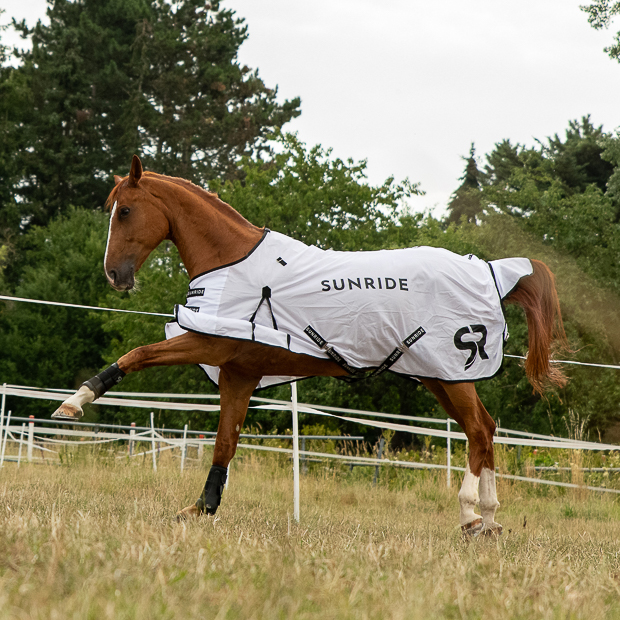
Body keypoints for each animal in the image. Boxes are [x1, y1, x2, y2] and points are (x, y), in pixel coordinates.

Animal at [52, 153, 568, 536]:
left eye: (125, 211)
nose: (114, 275)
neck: (232, 261)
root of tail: (490, 270)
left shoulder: (208, 344)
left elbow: (136, 356)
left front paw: (74, 402)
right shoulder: (240, 373)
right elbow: (224, 443)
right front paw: (202, 508)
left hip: (451, 372)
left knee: (478, 431)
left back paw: (469, 514)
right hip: (436, 375)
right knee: (485, 430)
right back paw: (490, 518)